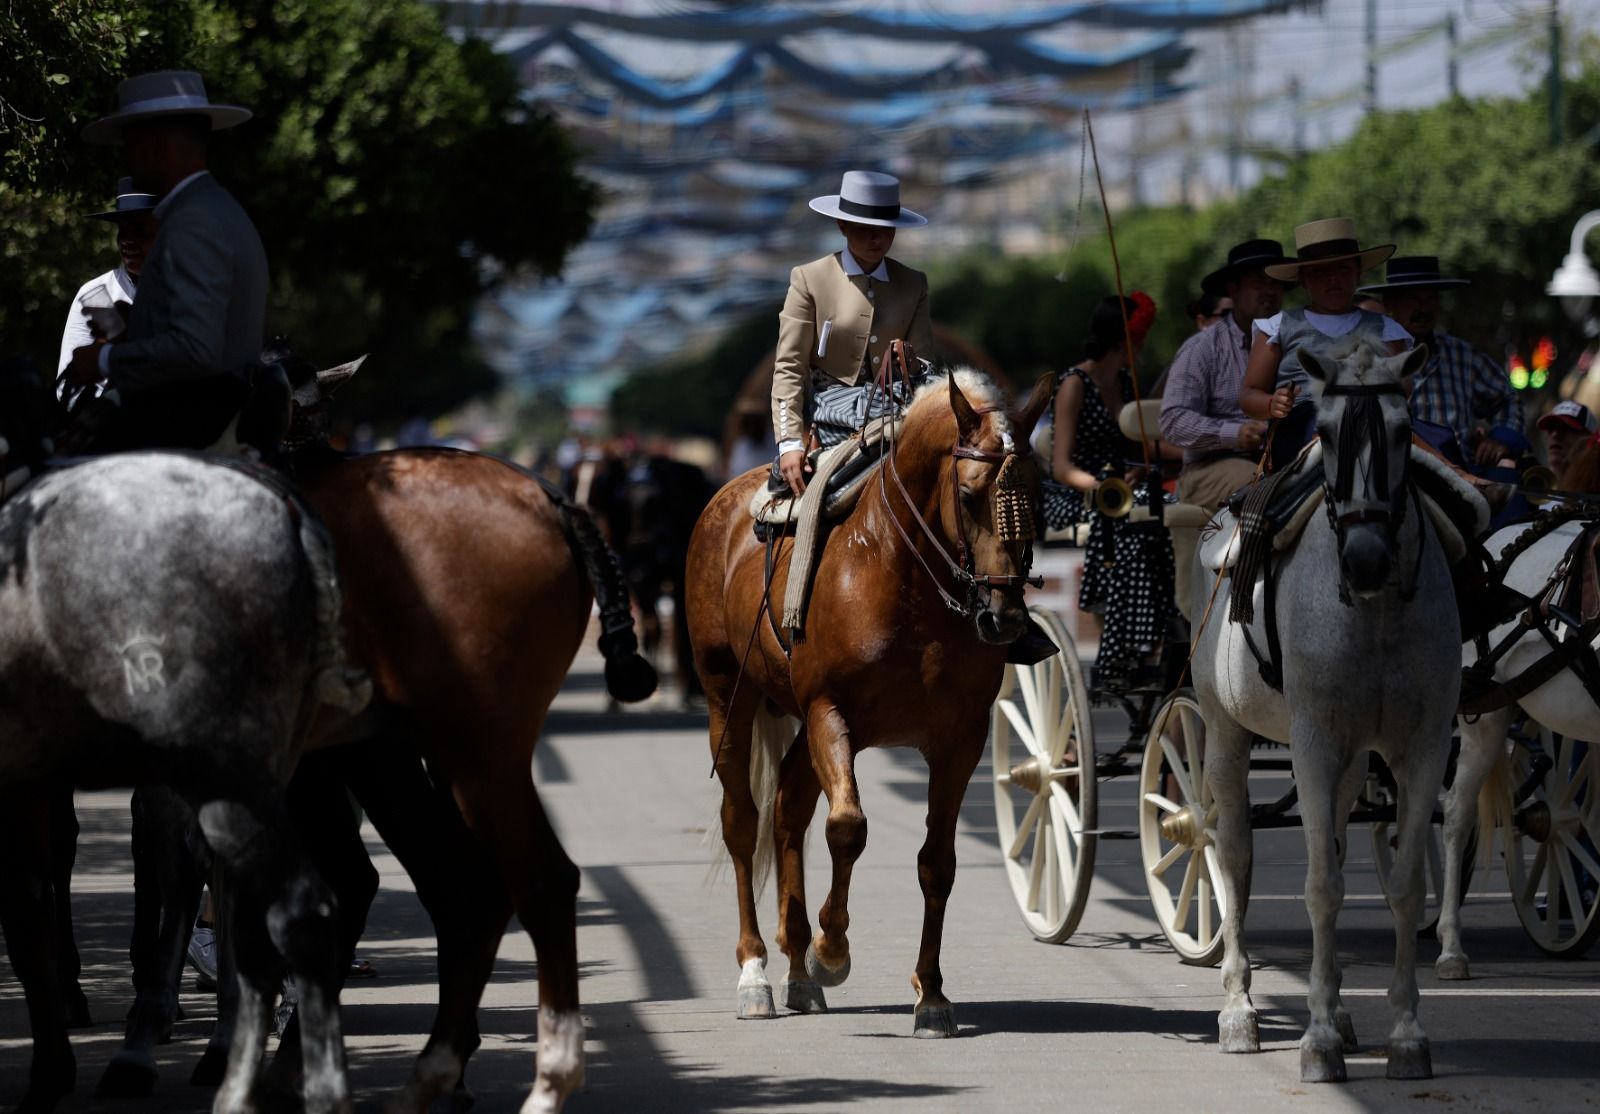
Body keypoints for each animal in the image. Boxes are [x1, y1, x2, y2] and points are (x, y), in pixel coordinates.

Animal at [684, 371, 1049, 1037]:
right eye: (968, 494)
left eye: (1037, 496)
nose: (1004, 617)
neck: (905, 575)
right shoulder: (831, 715)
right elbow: (848, 827)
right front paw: (832, 949)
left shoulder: (960, 740)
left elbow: (937, 861)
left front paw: (931, 993)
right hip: (730, 697)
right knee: (744, 821)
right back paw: (757, 971)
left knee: (788, 811)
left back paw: (796, 968)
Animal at [1190, 344, 1465, 1081]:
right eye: (1329, 432)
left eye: (1404, 430)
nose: (1367, 558)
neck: (1375, 614)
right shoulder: (1312, 745)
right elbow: (1320, 886)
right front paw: (1314, 1038)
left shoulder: (1421, 748)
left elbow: (1404, 886)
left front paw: (1405, 1034)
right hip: (1225, 734)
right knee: (1234, 854)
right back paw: (1239, 1008)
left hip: (1350, 762)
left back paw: (1339, 1011)